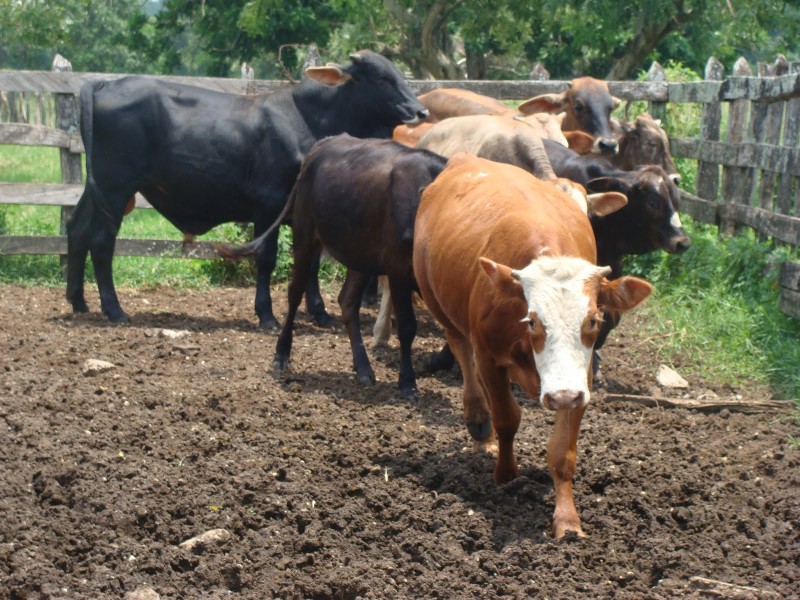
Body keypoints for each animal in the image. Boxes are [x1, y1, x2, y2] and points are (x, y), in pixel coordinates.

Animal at [67, 49, 432, 326]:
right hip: (114, 187)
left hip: (98, 189)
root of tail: (102, 83)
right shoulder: (268, 204)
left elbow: (311, 263)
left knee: (76, 229)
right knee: (101, 241)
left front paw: (320, 313)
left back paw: (78, 300)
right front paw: (267, 315)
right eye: (381, 77)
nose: (421, 110)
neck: (308, 121)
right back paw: (114, 309)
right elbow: (266, 258)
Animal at [410, 155, 652, 540]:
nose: (561, 396)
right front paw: (505, 475)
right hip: (438, 304)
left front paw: (567, 520)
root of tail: (466, 158)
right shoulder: (490, 359)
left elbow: (562, 452)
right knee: (461, 350)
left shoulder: (579, 380)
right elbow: (507, 418)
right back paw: (479, 422)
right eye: (534, 321)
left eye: (594, 320)